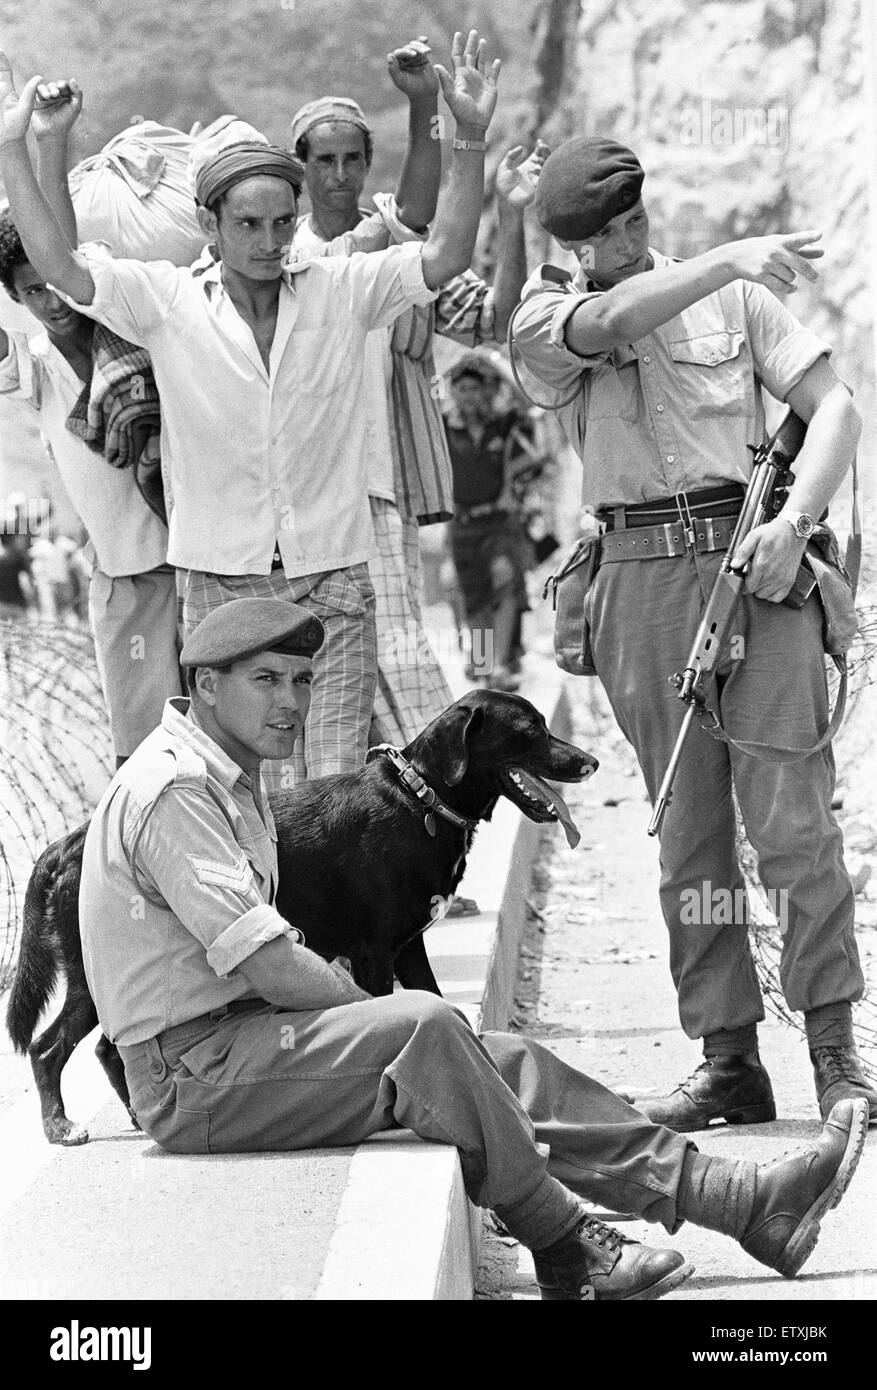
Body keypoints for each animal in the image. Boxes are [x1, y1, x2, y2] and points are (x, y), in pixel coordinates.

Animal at [5, 689, 597, 1145]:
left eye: (545, 725)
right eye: (529, 730)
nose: (589, 761)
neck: (421, 800)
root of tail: (62, 845)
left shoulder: (409, 948)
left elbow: (438, 1003)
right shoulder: (374, 956)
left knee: (106, 1047)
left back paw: (132, 1115)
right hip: (91, 979)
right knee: (48, 1047)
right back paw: (60, 1127)